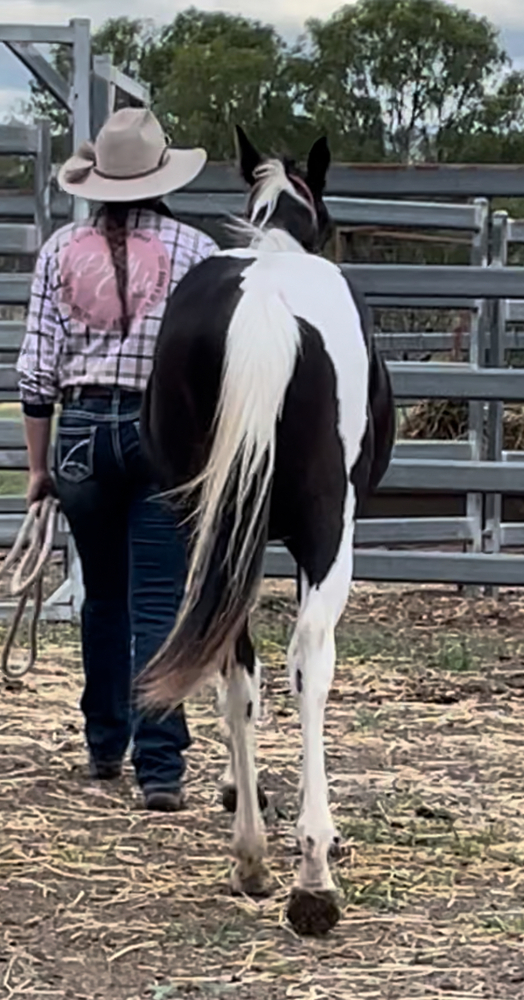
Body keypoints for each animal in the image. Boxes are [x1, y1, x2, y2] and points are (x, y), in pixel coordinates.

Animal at [138, 126, 395, 936]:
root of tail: (264, 307)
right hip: (325, 531)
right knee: (308, 660)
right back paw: (312, 876)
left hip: (206, 528)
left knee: (232, 662)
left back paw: (250, 856)